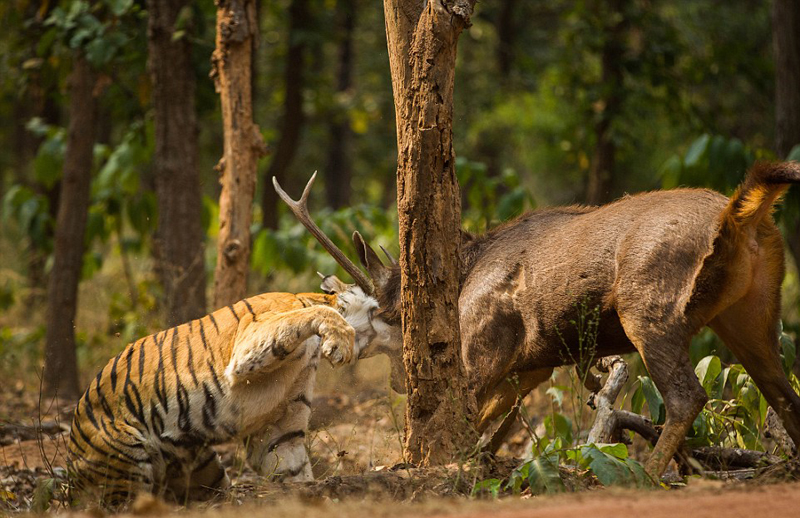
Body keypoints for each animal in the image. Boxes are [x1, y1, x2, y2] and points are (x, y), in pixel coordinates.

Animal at [67, 277, 400, 508]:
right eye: (379, 311)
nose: (398, 333)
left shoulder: (280, 427)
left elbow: (295, 471)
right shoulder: (250, 344)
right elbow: (316, 314)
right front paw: (341, 342)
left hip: (205, 468)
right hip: (126, 459)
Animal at [273, 161, 800, 478]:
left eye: (379, 312)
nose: (399, 379)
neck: (465, 277)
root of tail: (739, 216)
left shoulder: (483, 346)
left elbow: (465, 422)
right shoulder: (535, 363)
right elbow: (495, 429)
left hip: (651, 310)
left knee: (688, 396)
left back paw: (646, 477)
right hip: (753, 313)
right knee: (783, 396)